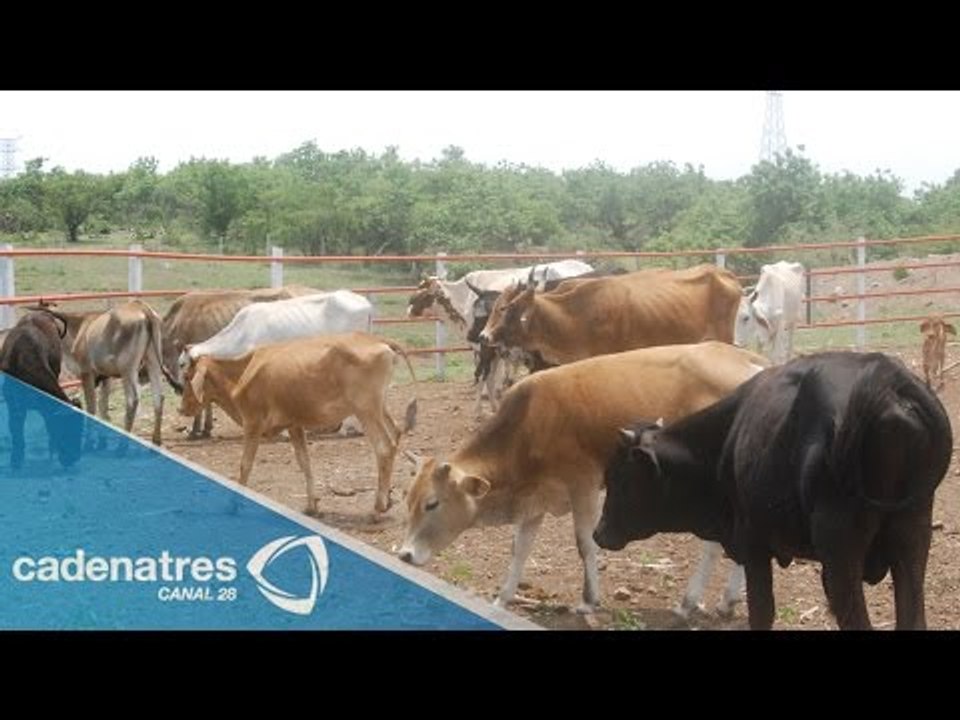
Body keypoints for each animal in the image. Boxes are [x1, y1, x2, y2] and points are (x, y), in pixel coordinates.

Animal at [36, 301, 178, 446]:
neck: (77, 329)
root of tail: (140, 306)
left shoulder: (87, 373)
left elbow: (92, 407)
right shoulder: (106, 376)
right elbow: (103, 408)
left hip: (128, 369)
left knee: (132, 400)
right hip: (153, 361)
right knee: (159, 396)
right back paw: (156, 440)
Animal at [179, 332, 419, 515]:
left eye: (188, 376)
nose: (181, 408)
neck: (241, 374)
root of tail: (376, 338)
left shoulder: (253, 424)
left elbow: (245, 464)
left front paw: (234, 504)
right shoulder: (294, 425)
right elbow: (305, 462)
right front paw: (312, 506)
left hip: (366, 411)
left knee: (384, 447)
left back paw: (379, 505)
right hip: (379, 408)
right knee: (396, 435)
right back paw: (388, 499)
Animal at [398, 341, 768, 614]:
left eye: (433, 503)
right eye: (408, 500)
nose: (404, 555)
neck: (529, 425)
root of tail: (752, 363)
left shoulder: (583, 486)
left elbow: (585, 543)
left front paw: (589, 601)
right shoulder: (536, 499)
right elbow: (519, 548)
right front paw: (502, 598)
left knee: (714, 542)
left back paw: (690, 603)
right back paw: (726, 602)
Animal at [593, 351, 953, 630]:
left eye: (619, 478)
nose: (599, 533)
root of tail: (886, 380)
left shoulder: (753, 543)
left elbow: (762, 612)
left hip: (840, 549)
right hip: (912, 534)